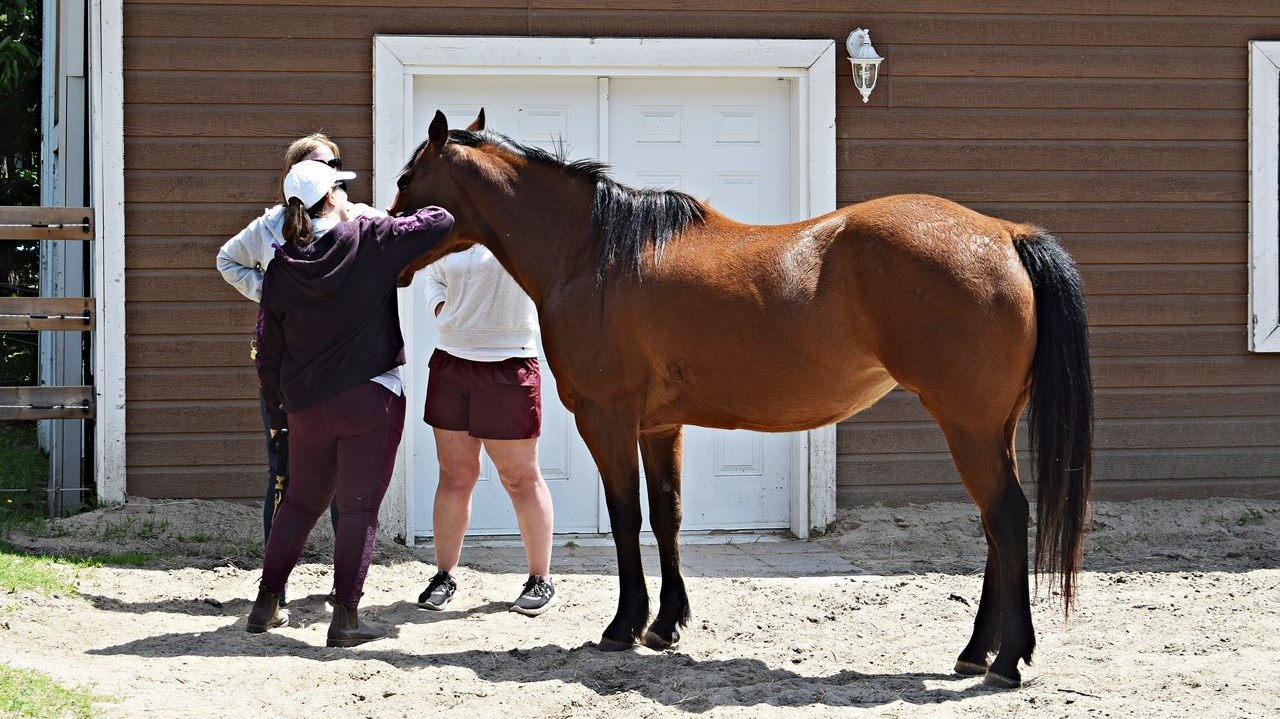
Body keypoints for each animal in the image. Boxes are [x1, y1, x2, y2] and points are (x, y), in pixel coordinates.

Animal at [392, 109, 1093, 688]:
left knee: (1006, 517)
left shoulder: (608, 419)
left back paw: (1007, 660)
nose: (390, 249)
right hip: (990, 428)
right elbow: (667, 515)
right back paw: (976, 652)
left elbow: (625, 517)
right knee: (996, 526)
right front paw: (666, 625)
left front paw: (624, 626)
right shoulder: (658, 426)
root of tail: (1005, 235)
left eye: (406, 178)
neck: (593, 255)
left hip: (967, 426)